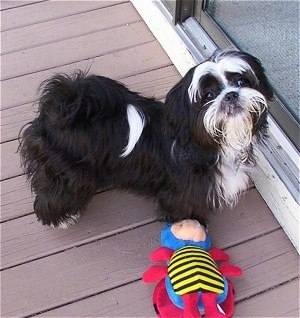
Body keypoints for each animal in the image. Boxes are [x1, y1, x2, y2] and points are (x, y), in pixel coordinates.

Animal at [18, 48, 272, 227]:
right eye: (208, 95)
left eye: (241, 81)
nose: (231, 95)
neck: (206, 143)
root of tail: (59, 105)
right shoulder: (180, 193)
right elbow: (183, 210)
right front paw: (193, 225)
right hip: (67, 171)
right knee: (53, 192)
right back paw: (60, 218)